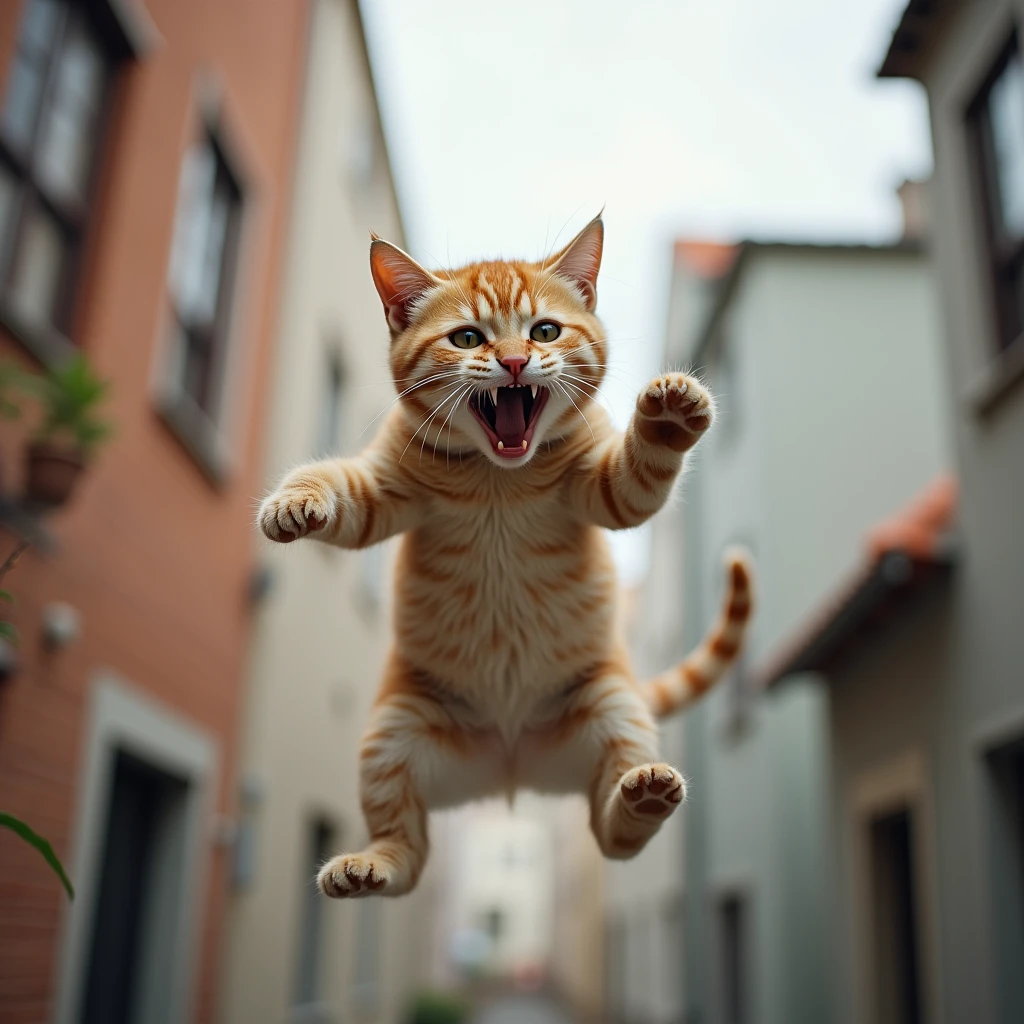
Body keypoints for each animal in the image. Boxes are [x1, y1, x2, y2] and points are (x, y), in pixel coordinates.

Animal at [256, 214, 753, 897]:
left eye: (544, 330)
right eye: (468, 337)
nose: (515, 361)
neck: (499, 476)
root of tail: (509, 769)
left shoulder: (607, 489)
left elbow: (639, 478)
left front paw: (669, 418)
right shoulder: (382, 488)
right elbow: (334, 486)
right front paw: (293, 503)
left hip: (614, 706)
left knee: (612, 835)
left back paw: (641, 796)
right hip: (392, 733)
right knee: (409, 854)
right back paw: (369, 865)